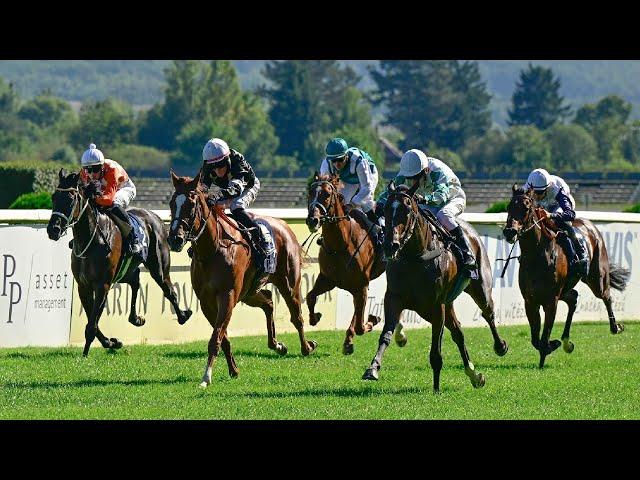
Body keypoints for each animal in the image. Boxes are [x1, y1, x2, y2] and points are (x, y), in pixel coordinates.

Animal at [47, 169, 192, 356]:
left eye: (71, 198)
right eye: (54, 197)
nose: (53, 229)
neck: (92, 240)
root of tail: (155, 217)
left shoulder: (102, 285)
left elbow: (92, 322)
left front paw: (86, 352)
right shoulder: (83, 286)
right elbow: (92, 318)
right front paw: (110, 342)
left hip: (158, 267)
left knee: (169, 290)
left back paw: (182, 315)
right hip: (124, 271)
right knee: (135, 281)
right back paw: (136, 318)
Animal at [165, 171, 316, 388]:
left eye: (191, 204)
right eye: (172, 203)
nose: (175, 239)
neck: (213, 249)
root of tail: (284, 226)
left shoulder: (227, 295)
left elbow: (216, 337)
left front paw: (206, 377)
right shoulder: (206, 301)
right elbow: (223, 337)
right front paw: (233, 370)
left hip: (288, 283)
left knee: (297, 316)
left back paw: (307, 347)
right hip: (248, 292)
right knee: (268, 301)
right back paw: (277, 345)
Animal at [364, 182, 490, 392]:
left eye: (407, 210)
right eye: (386, 209)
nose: (390, 245)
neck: (416, 257)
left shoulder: (437, 305)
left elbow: (435, 352)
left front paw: (436, 388)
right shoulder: (394, 298)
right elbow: (386, 334)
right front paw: (373, 368)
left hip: (478, 288)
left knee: (488, 313)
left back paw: (499, 348)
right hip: (444, 306)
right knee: (458, 334)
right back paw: (474, 375)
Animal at [502, 184, 628, 368]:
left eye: (526, 208)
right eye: (509, 207)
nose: (509, 232)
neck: (537, 255)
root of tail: (591, 225)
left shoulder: (551, 300)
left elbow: (544, 334)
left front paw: (547, 349)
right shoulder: (530, 300)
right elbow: (535, 338)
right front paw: (552, 345)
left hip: (596, 278)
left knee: (606, 296)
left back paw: (615, 327)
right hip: (565, 289)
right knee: (573, 298)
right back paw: (567, 341)